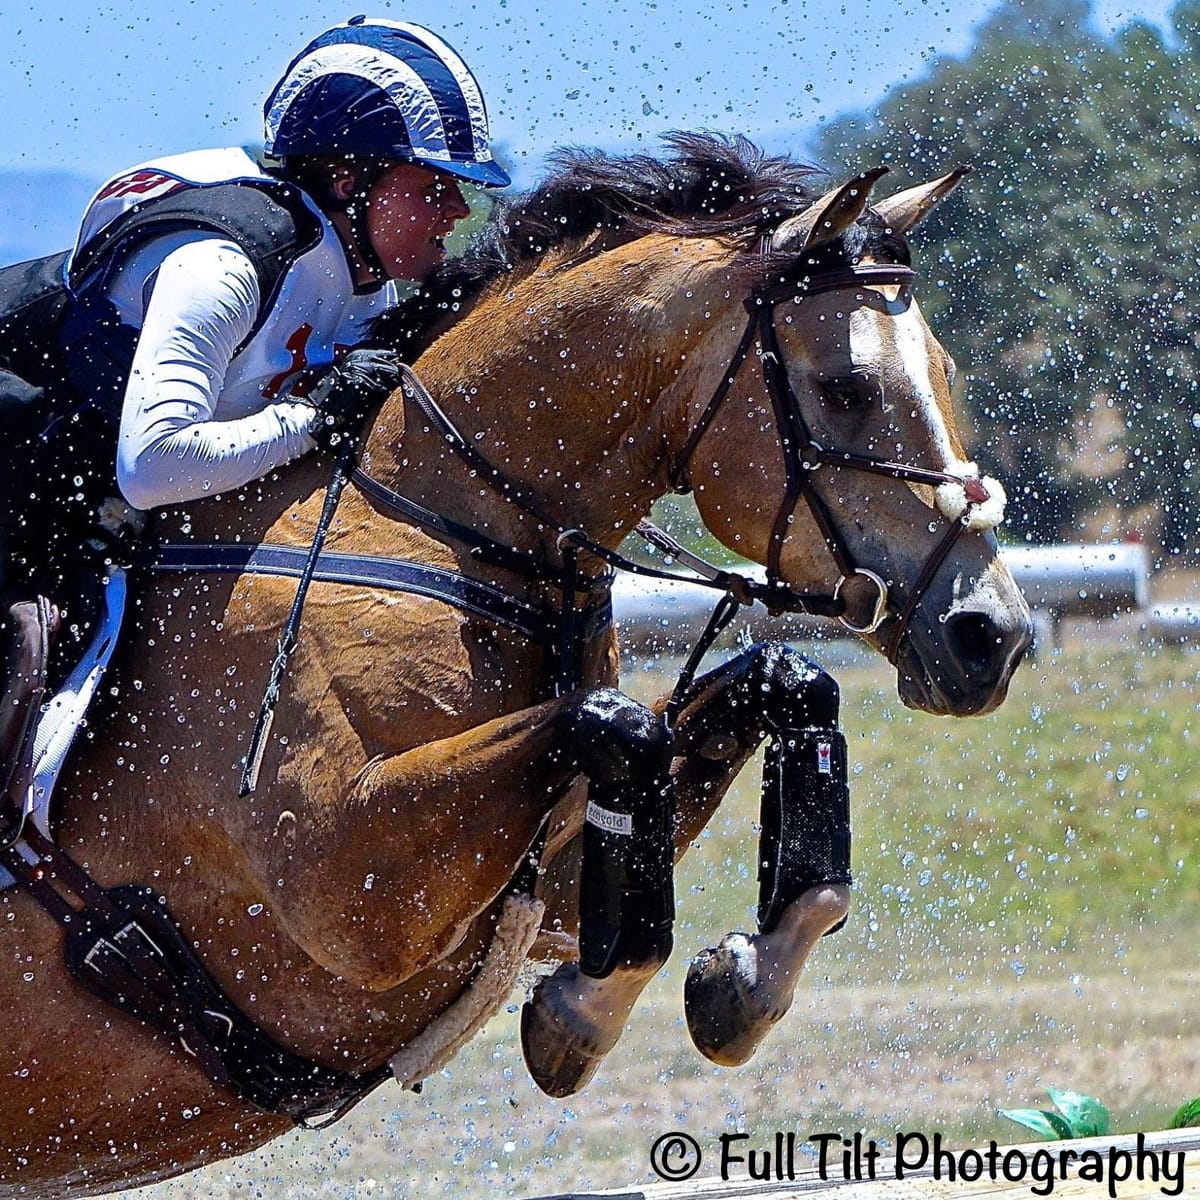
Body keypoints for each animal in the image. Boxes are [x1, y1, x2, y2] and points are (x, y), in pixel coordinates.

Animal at [0, 134, 1031, 1196]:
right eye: (847, 389)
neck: (429, 518)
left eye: (945, 371)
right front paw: (585, 1020)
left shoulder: (546, 890)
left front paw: (737, 986)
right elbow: (624, 728)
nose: (990, 635)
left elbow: (779, 689)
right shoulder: (346, 887)